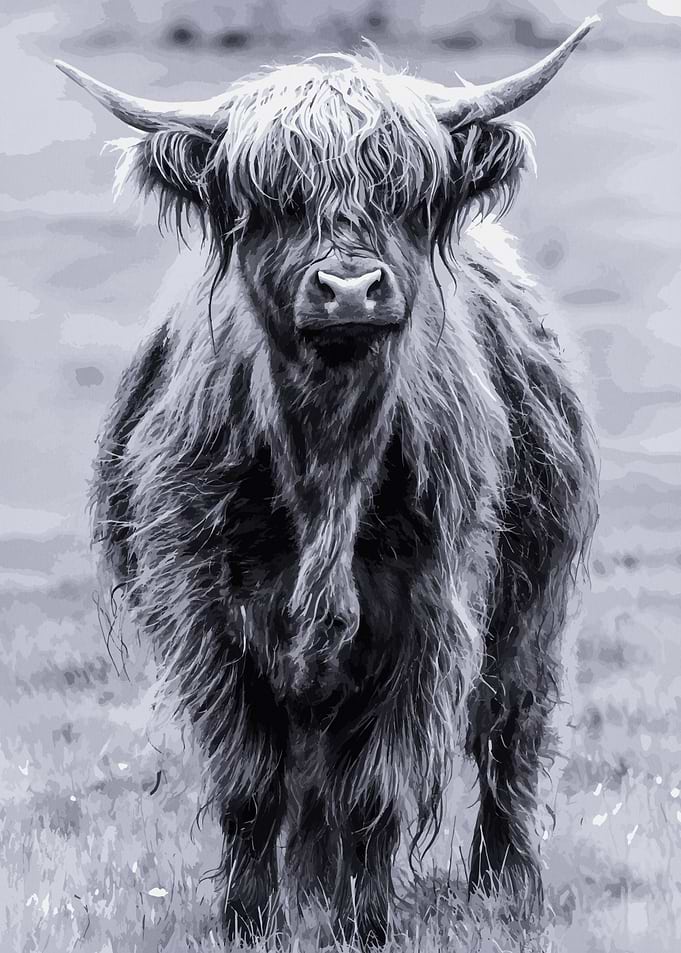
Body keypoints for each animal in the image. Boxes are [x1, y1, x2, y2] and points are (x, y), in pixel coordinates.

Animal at [58, 16, 599, 946]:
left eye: (404, 194)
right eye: (273, 199)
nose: (348, 287)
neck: (325, 458)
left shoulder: (425, 611)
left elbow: (373, 791)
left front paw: (365, 925)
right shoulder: (206, 615)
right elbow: (249, 784)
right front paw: (248, 919)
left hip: (532, 595)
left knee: (510, 731)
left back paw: (504, 887)